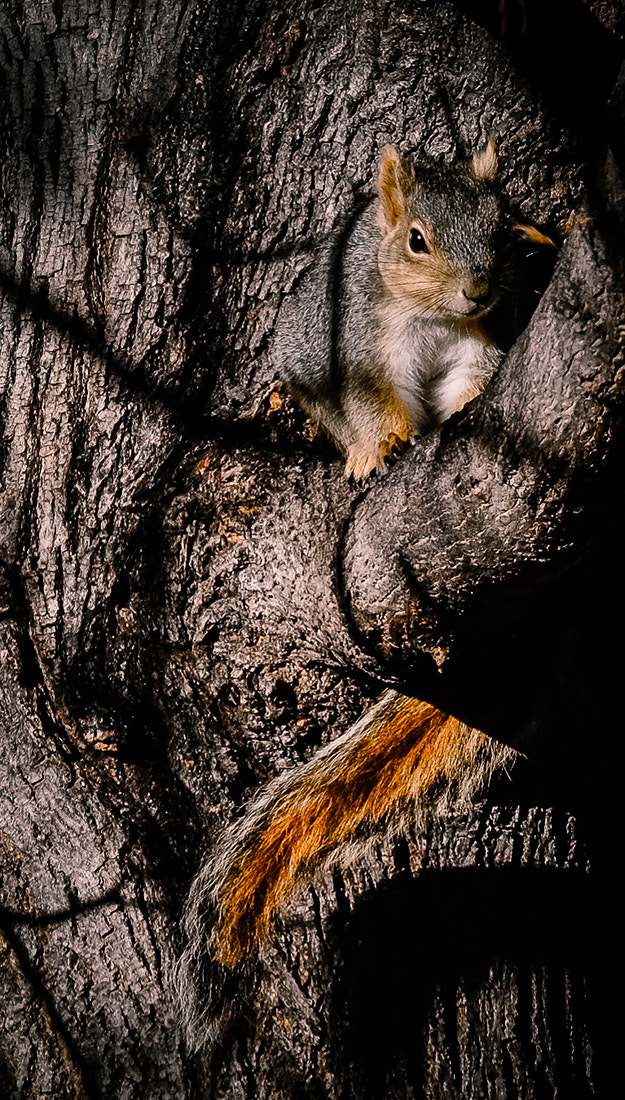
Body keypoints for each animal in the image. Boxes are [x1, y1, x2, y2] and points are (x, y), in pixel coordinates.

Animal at [174, 139, 556, 1047]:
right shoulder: (349, 350)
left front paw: (470, 406)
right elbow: (369, 403)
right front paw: (377, 449)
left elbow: (476, 381)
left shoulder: (484, 343)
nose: (478, 290)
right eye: (416, 240)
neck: (433, 320)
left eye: (502, 230)